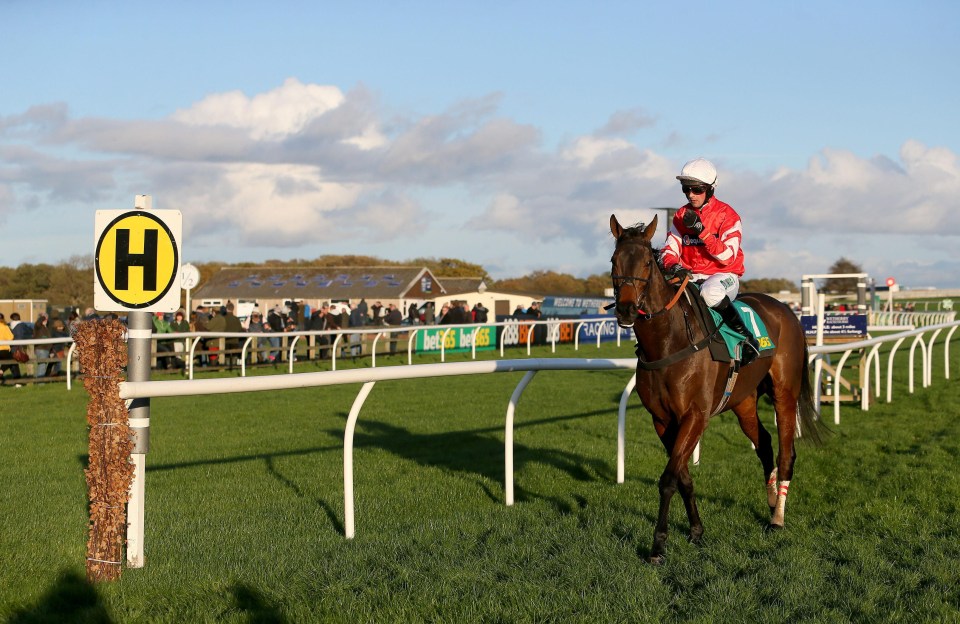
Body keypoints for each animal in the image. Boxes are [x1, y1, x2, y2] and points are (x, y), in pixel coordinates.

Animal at [608, 214, 824, 564]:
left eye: (646, 263)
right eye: (614, 261)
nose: (626, 310)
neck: (669, 341)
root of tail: (787, 310)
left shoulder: (695, 415)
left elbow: (669, 479)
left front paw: (658, 545)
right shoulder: (662, 420)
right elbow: (683, 476)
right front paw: (696, 531)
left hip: (784, 392)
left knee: (786, 452)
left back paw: (777, 518)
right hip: (744, 400)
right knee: (764, 444)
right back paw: (770, 502)